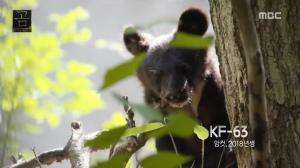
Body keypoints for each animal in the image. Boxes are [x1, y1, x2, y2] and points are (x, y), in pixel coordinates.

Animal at [122, 7, 237, 168]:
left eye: (184, 67)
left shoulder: (215, 98)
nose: (174, 95)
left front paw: (221, 155)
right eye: (155, 75)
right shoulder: (161, 122)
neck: (186, 108)